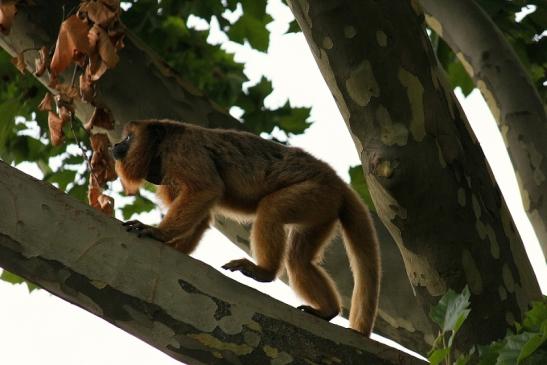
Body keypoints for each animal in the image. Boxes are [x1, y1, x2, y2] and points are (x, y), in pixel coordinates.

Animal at [112, 119, 382, 336]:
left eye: (128, 138)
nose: (115, 146)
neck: (162, 146)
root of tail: (337, 181)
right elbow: (202, 217)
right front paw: (173, 247)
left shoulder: (184, 150)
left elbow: (206, 189)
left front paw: (158, 233)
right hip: (324, 209)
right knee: (298, 260)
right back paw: (327, 310)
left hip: (317, 192)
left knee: (272, 209)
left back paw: (264, 271)